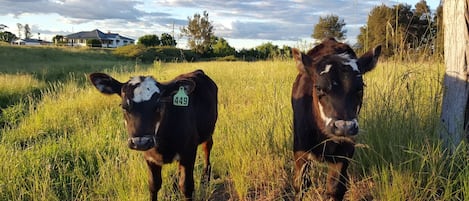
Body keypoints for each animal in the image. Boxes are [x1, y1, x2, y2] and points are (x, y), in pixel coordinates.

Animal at [89, 70, 218, 200]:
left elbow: (186, 187)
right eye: (124, 106)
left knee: (207, 147)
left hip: (209, 131)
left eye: (158, 105)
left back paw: (206, 175)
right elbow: (153, 185)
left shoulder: (189, 152)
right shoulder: (150, 157)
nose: (140, 142)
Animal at [288, 38, 380, 200]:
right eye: (318, 88)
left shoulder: (345, 151)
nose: (344, 126)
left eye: (360, 88)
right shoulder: (300, 149)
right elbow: (301, 184)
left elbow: (335, 187)